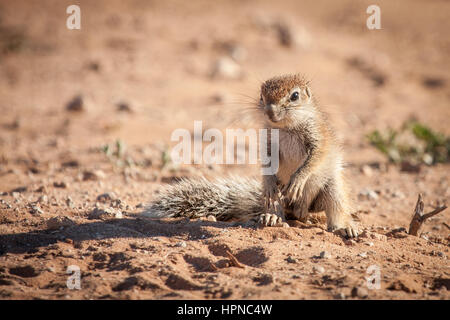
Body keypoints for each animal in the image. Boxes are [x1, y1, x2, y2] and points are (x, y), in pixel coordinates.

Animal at [146, 74, 360, 236]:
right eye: (261, 96)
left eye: (295, 96)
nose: (270, 111)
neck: (286, 128)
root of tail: (302, 210)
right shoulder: (267, 142)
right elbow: (267, 161)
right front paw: (270, 181)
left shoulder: (319, 139)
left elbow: (314, 159)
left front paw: (298, 179)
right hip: (273, 197)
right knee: (275, 204)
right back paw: (272, 217)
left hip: (332, 189)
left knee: (337, 209)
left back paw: (344, 229)